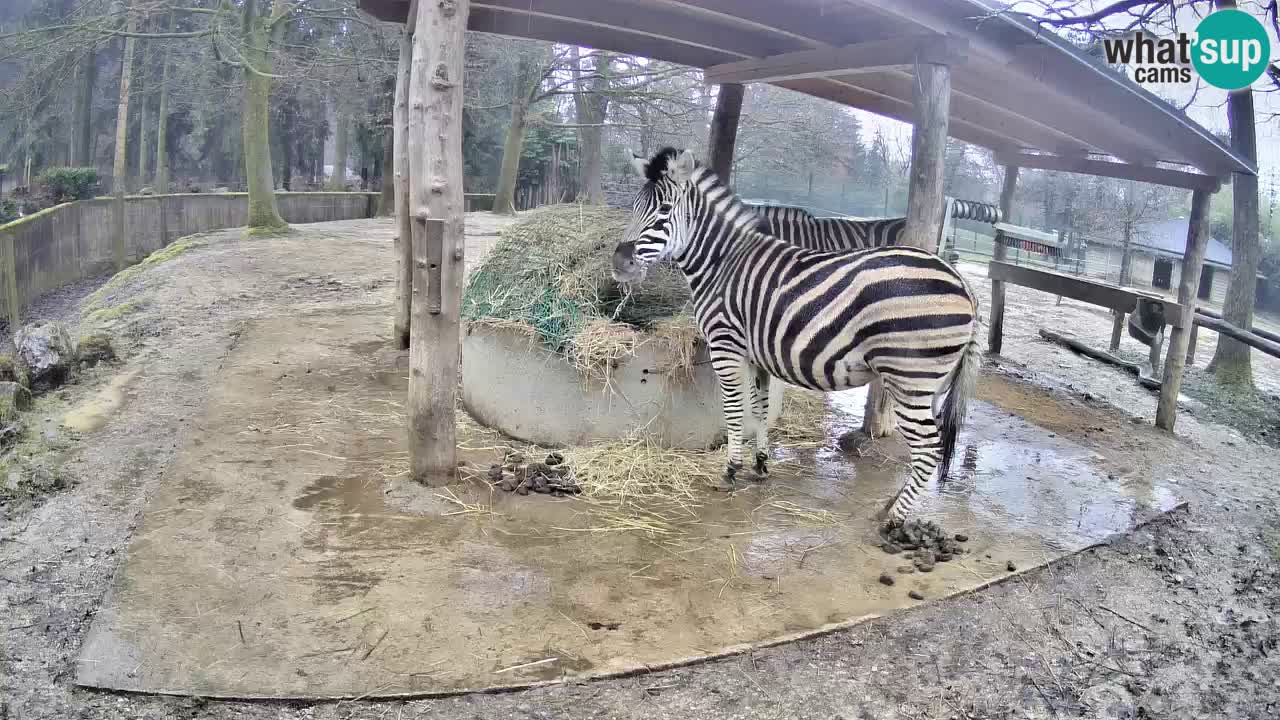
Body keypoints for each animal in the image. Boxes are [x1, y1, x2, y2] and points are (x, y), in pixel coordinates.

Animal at [612, 148, 982, 523]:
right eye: (634, 206)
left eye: (664, 210)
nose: (620, 264)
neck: (722, 263)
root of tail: (962, 282)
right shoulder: (755, 355)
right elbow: (758, 409)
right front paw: (760, 464)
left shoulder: (725, 345)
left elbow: (734, 409)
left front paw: (730, 470)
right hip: (928, 382)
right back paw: (890, 505)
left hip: (909, 377)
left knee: (928, 448)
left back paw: (893, 518)